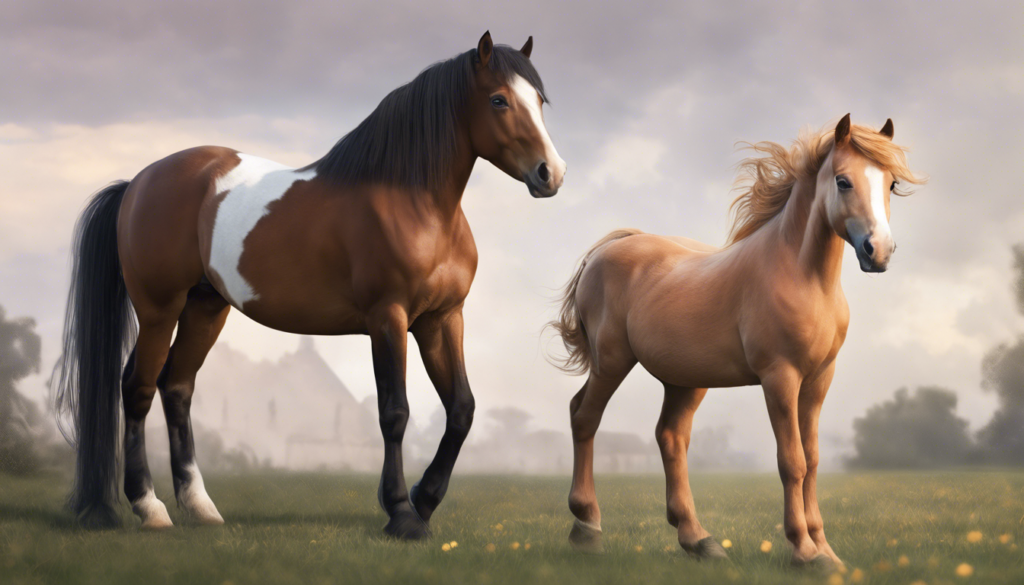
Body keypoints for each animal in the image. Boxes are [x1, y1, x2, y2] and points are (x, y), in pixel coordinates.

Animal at [52, 31, 565, 539]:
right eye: (499, 99)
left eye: (540, 100)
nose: (551, 173)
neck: (414, 203)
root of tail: (139, 182)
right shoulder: (388, 318)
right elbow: (394, 412)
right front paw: (402, 512)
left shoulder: (442, 319)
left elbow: (461, 409)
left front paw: (424, 499)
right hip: (160, 307)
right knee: (137, 388)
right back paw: (150, 507)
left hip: (205, 307)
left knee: (176, 386)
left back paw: (200, 507)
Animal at [550, 115, 923, 565]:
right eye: (843, 181)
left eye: (891, 184)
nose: (878, 251)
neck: (803, 277)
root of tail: (606, 251)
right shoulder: (780, 378)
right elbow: (792, 462)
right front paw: (804, 550)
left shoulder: (818, 380)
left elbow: (814, 460)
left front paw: (825, 551)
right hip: (612, 361)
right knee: (584, 417)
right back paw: (587, 526)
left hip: (685, 380)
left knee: (670, 437)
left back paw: (698, 539)